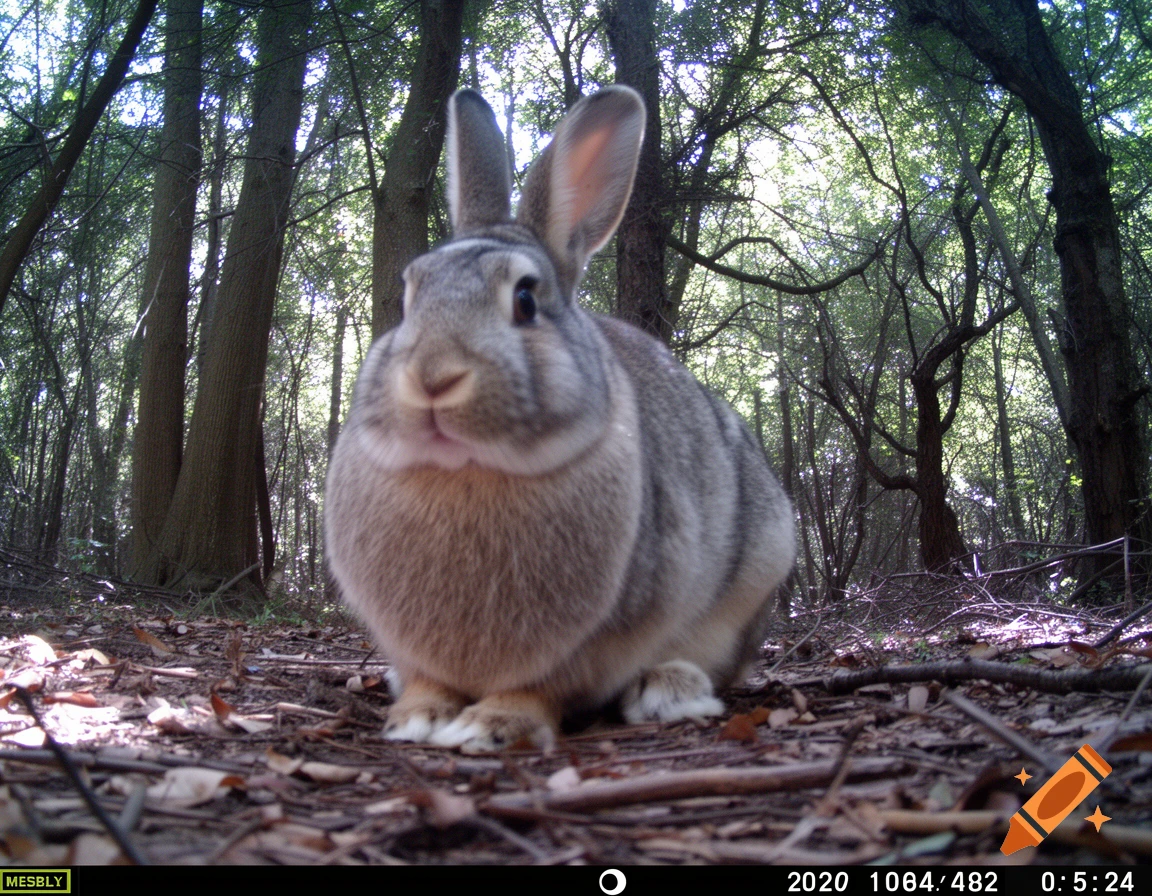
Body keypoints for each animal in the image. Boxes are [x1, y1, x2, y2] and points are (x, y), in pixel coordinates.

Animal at [325, 86, 795, 753]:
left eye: (525, 300)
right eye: (411, 291)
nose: (432, 378)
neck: (468, 471)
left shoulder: (585, 648)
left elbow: (538, 691)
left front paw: (491, 727)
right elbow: (427, 681)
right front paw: (416, 718)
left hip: (752, 579)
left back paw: (668, 689)